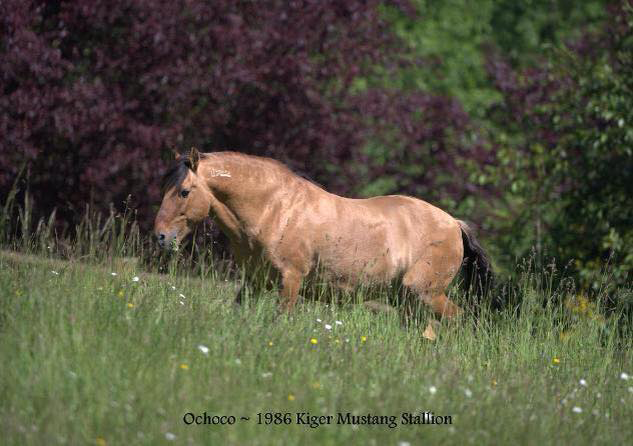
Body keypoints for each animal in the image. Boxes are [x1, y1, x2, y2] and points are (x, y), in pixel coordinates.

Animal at [154, 148, 494, 336]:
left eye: (184, 191)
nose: (160, 237)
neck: (274, 209)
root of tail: (455, 224)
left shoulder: (290, 280)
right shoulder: (254, 281)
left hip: (425, 294)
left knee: (459, 321)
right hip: (408, 302)